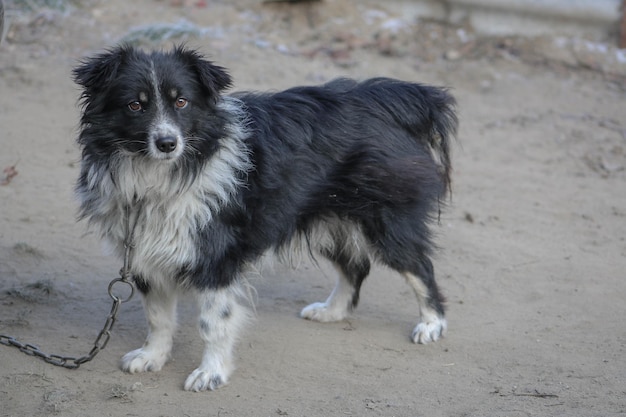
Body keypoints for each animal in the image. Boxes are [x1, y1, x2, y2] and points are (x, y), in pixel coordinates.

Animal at [73, 44, 456, 390]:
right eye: (135, 105)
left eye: (181, 102)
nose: (167, 143)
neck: (162, 175)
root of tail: (389, 97)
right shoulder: (144, 251)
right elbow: (157, 317)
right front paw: (151, 357)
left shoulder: (216, 257)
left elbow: (212, 322)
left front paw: (211, 374)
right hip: (326, 215)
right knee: (356, 266)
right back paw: (331, 311)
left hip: (385, 219)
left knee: (420, 268)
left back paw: (431, 324)